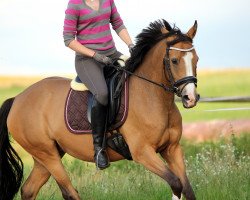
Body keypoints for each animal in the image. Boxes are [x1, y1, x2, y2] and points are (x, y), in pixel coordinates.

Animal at [0, 19, 199, 200]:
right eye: (174, 60)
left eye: (196, 59)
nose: (190, 98)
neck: (152, 98)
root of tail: (17, 99)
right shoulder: (143, 153)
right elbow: (175, 183)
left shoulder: (172, 149)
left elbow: (187, 189)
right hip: (47, 155)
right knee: (69, 193)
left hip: (46, 156)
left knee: (28, 190)